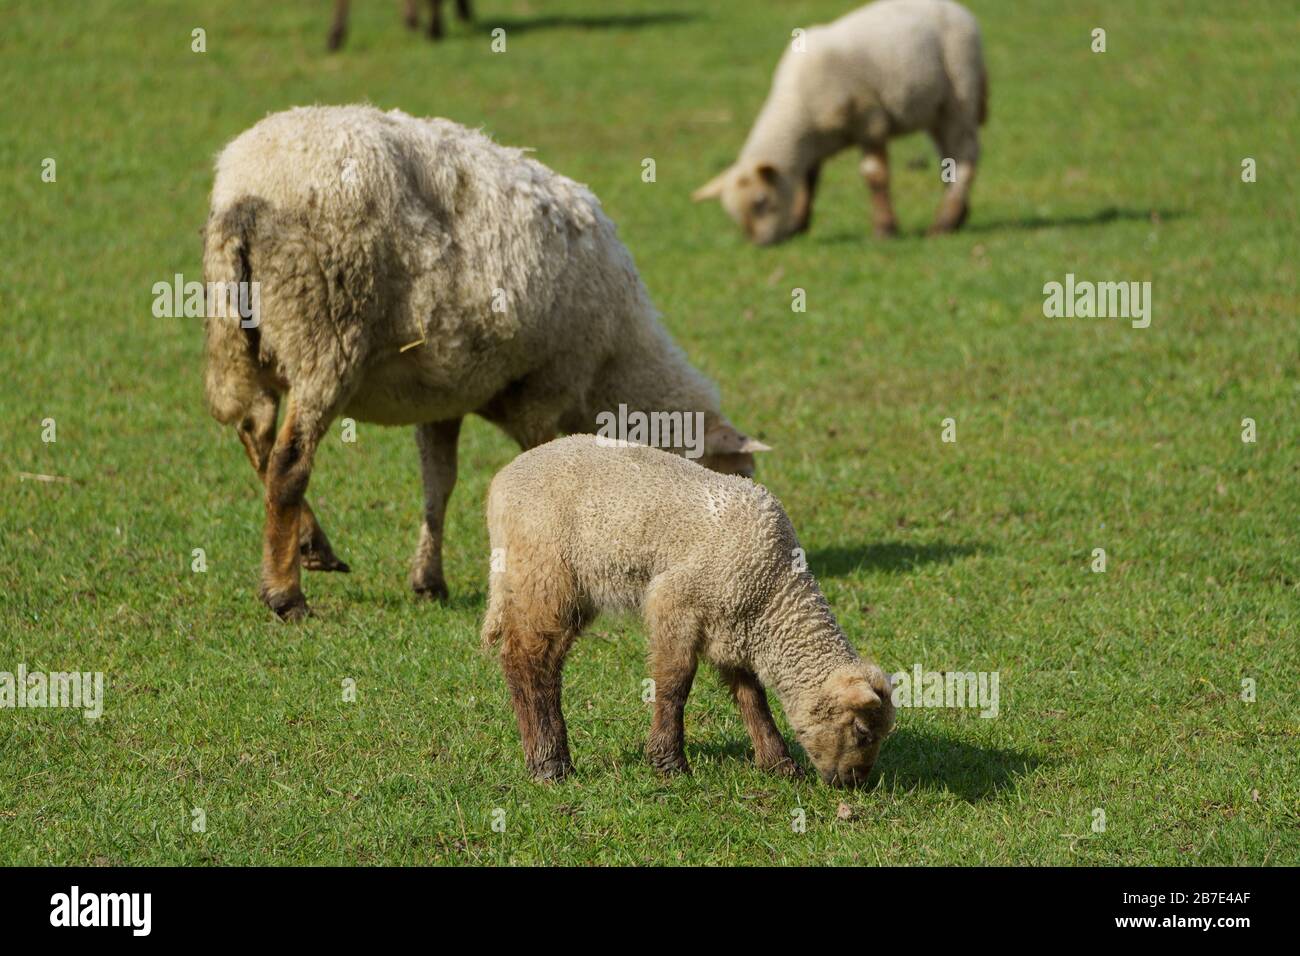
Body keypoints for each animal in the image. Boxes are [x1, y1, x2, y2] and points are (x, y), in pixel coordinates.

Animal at [202, 105, 768, 621]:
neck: (617, 365)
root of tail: (247, 186)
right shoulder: (547, 384)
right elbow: (544, 468)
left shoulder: (442, 397)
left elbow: (439, 484)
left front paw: (429, 581)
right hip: (324, 335)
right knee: (288, 463)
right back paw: (285, 594)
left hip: (245, 344)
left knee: (255, 435)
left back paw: (310, 545)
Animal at [482, 435, 895, 786]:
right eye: (861, 731)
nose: (854, 783)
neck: (774, 593)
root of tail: (501, 482)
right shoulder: (676, 602)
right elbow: (674, 683)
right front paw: (668, 762)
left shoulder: (733, 625)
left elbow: (752, 696)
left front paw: (777, 763)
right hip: (545, 571)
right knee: (528, 660)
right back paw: (549, 763)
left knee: (539, 659)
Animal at [692, 0, 988, 244]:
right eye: (734, 214)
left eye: (760, 201)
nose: (760, 244)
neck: (797, 112)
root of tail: (959, 9)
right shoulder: (815, 141)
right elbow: (808, 180)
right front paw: (798, 224)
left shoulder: (870, 121)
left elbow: (874, 175)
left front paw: (884, 230)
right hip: (936, 109)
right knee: (948, 156)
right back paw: (958, 215)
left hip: (960, 93)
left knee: (965, 155)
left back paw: (944, 223)